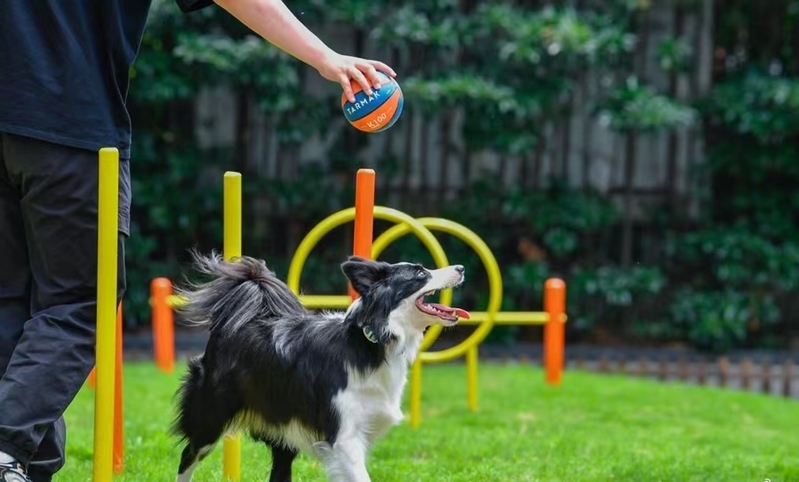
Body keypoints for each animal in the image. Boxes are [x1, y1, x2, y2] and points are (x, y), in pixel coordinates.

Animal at [170, 250, 468, 480]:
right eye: (420, 274)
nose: (462, 267)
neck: (372, 341)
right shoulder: (344, 439)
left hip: (283, 429)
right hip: (209, 419)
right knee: (187, 456)